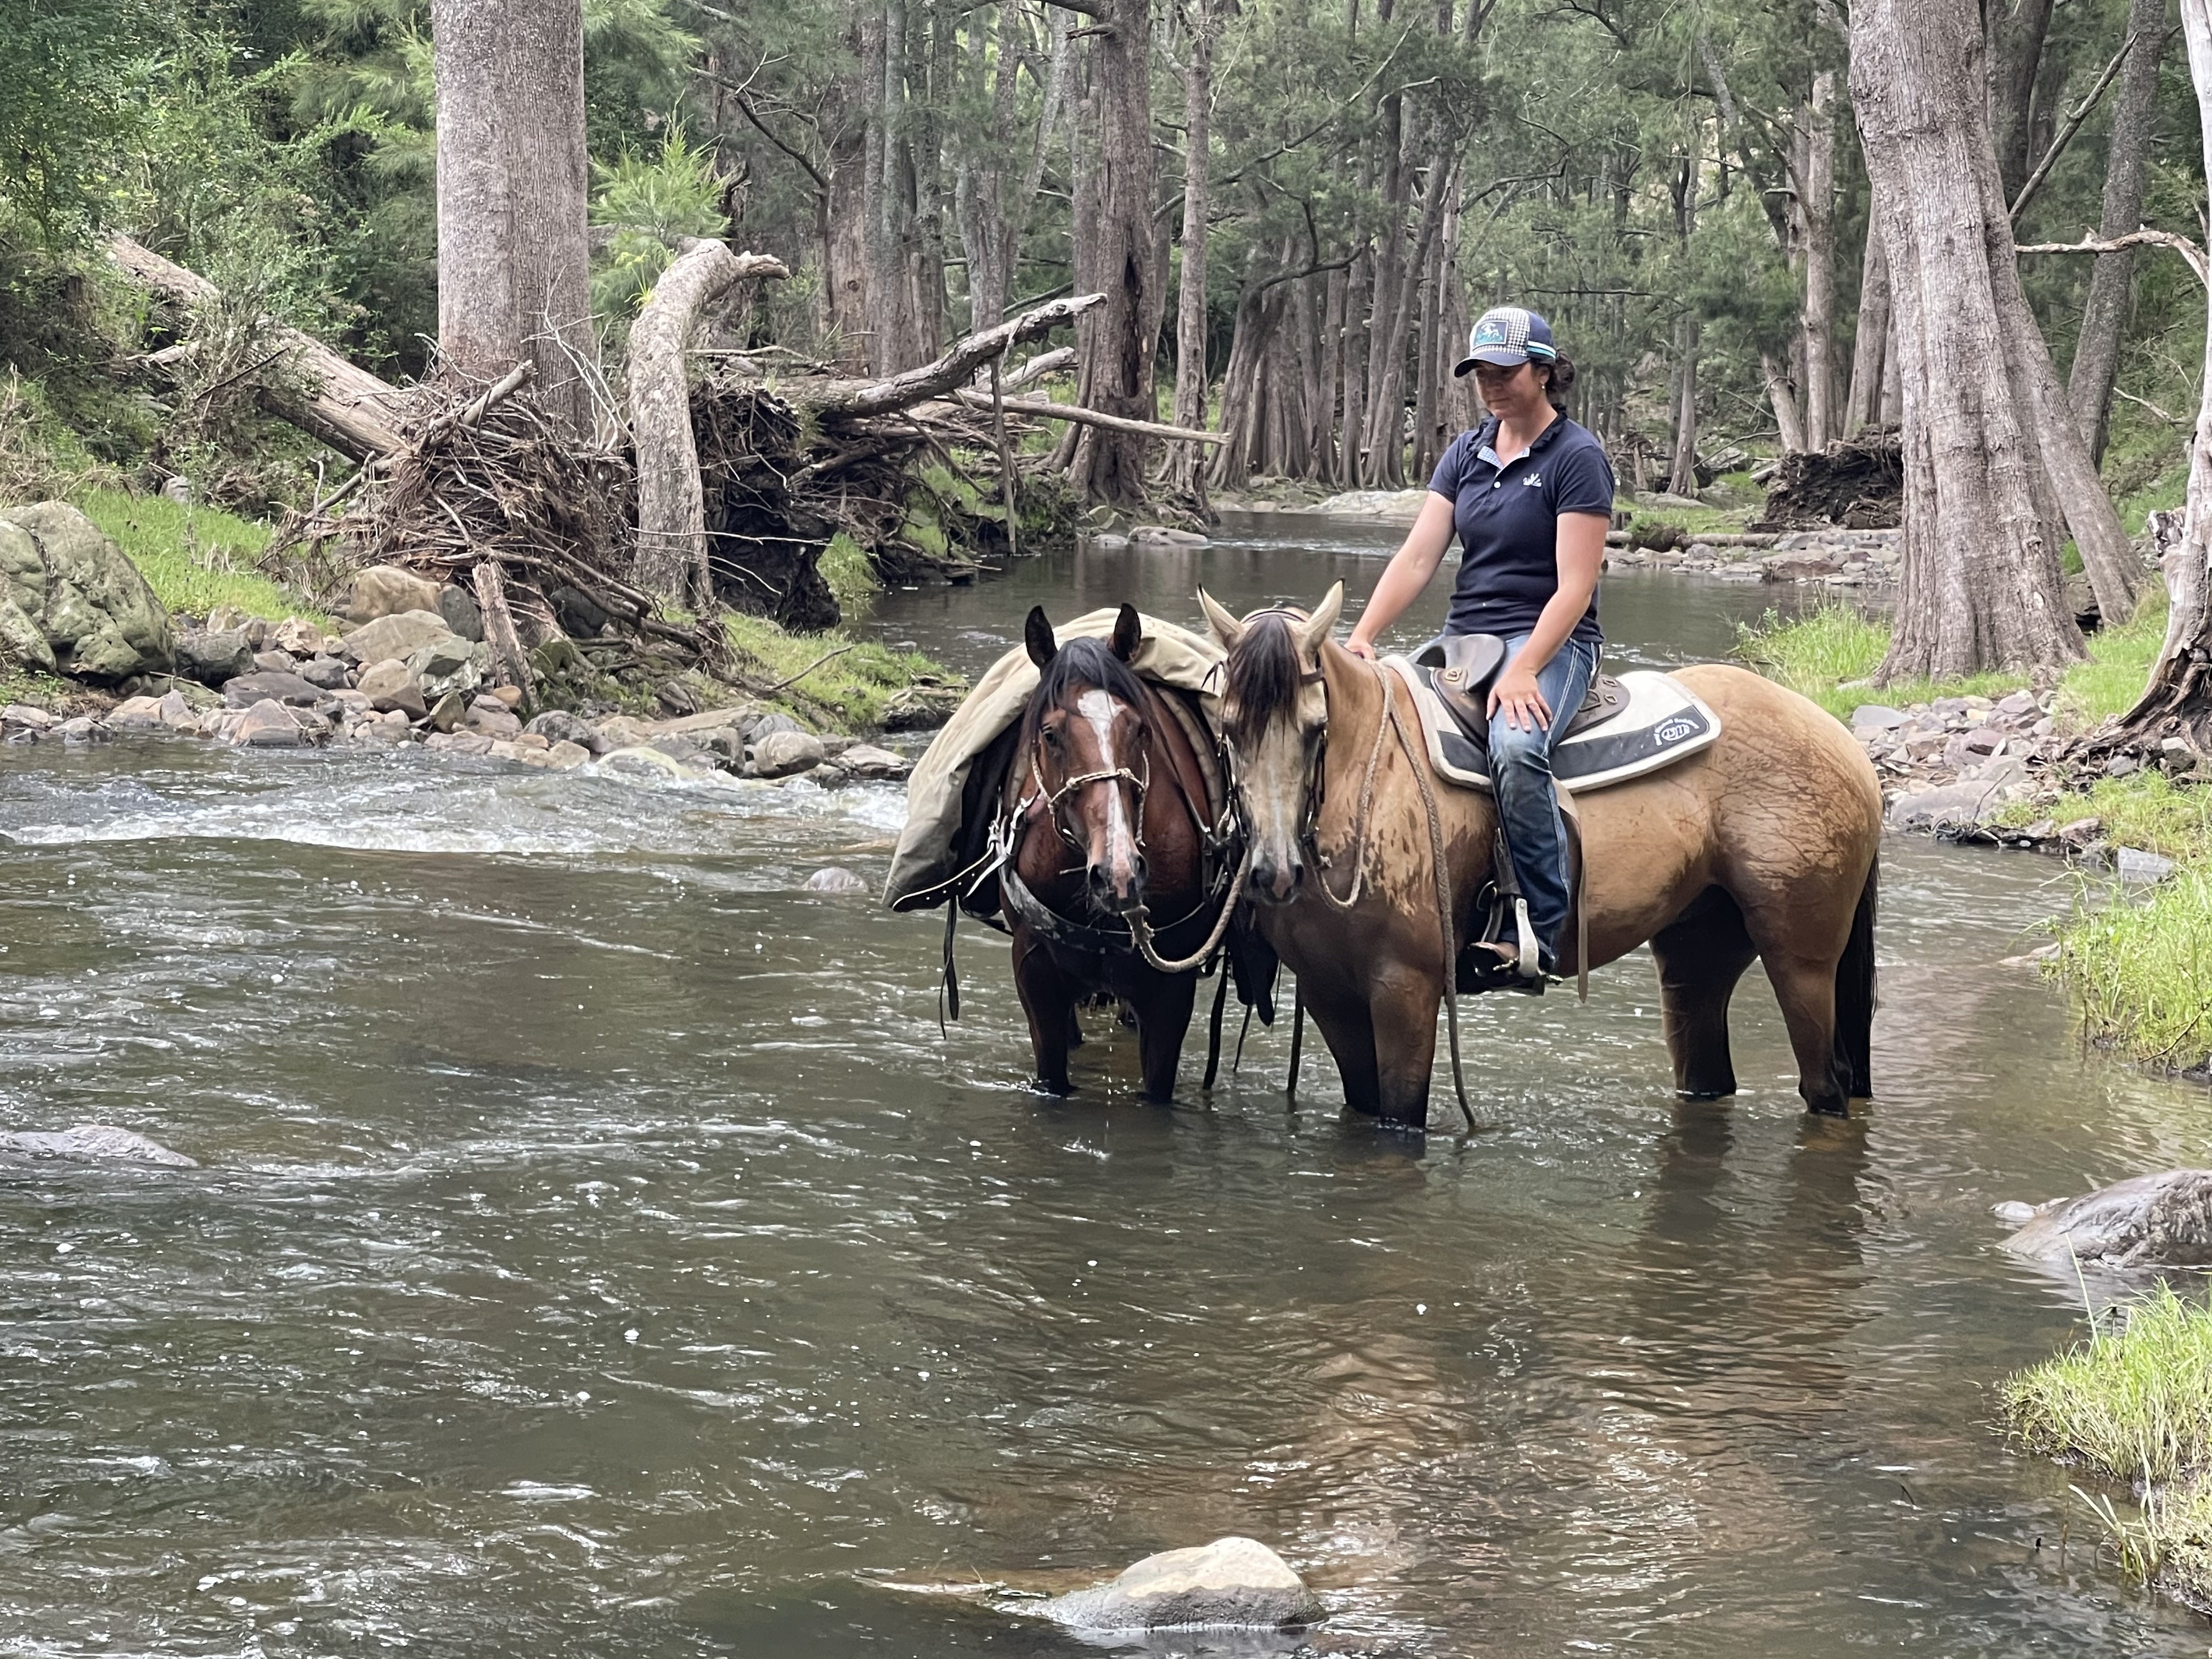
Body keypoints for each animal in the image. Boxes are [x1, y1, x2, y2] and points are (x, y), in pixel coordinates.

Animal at [1198, 583, 1883, 1130]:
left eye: (1316, 727)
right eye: (1228, 727)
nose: (1274, 872)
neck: (1372, 779)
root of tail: (1841, 739)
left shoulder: (1405, 989)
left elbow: (1400, 1118)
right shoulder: (1327, 992)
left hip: (1801, 958)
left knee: (1827, 1083)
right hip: (1699, 951)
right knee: (1710, 1072)